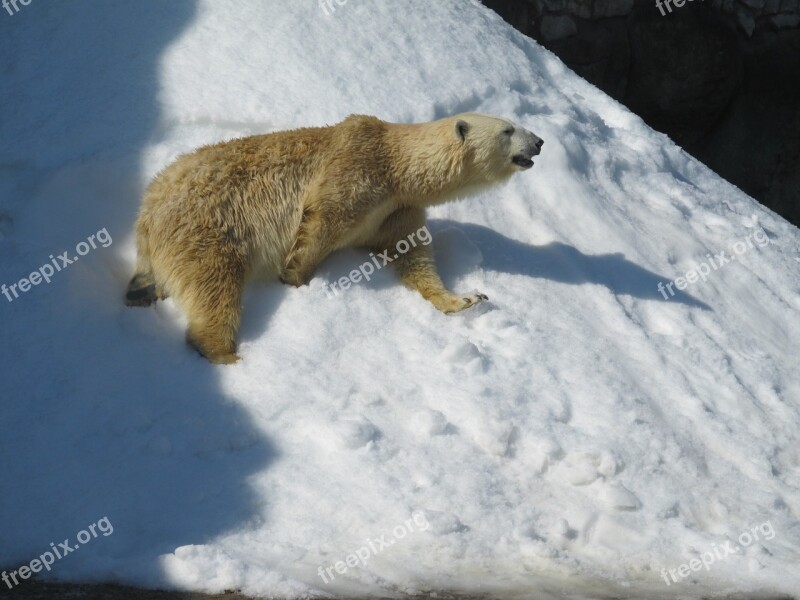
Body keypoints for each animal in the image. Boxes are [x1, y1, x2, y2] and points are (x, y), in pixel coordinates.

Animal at [126, 115, 544, 364]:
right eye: (508, 129)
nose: (539, 141)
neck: (399, 167)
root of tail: (147, 211)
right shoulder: (357, 168)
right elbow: (324, 219)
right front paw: (296, 277)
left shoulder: (396, 211)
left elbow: (412, 256)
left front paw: (466, 299)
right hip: (206, 226)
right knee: (214, 284)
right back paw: (228, 355)